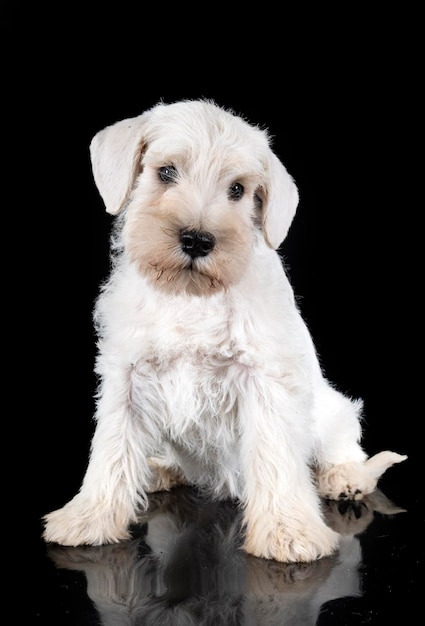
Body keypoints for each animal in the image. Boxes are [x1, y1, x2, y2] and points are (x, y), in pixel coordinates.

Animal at [42, 98, 404, 560]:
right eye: (165, 172)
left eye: (238, 190)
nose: (197, 240)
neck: (190, 296)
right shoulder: (127, 379)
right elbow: (111, 450)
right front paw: (88, 517)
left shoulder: (265, 382)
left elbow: (274, 456)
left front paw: (289, 532)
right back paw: (159, 469)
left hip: (330, 411)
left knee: (343, 446)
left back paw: (344, 479)